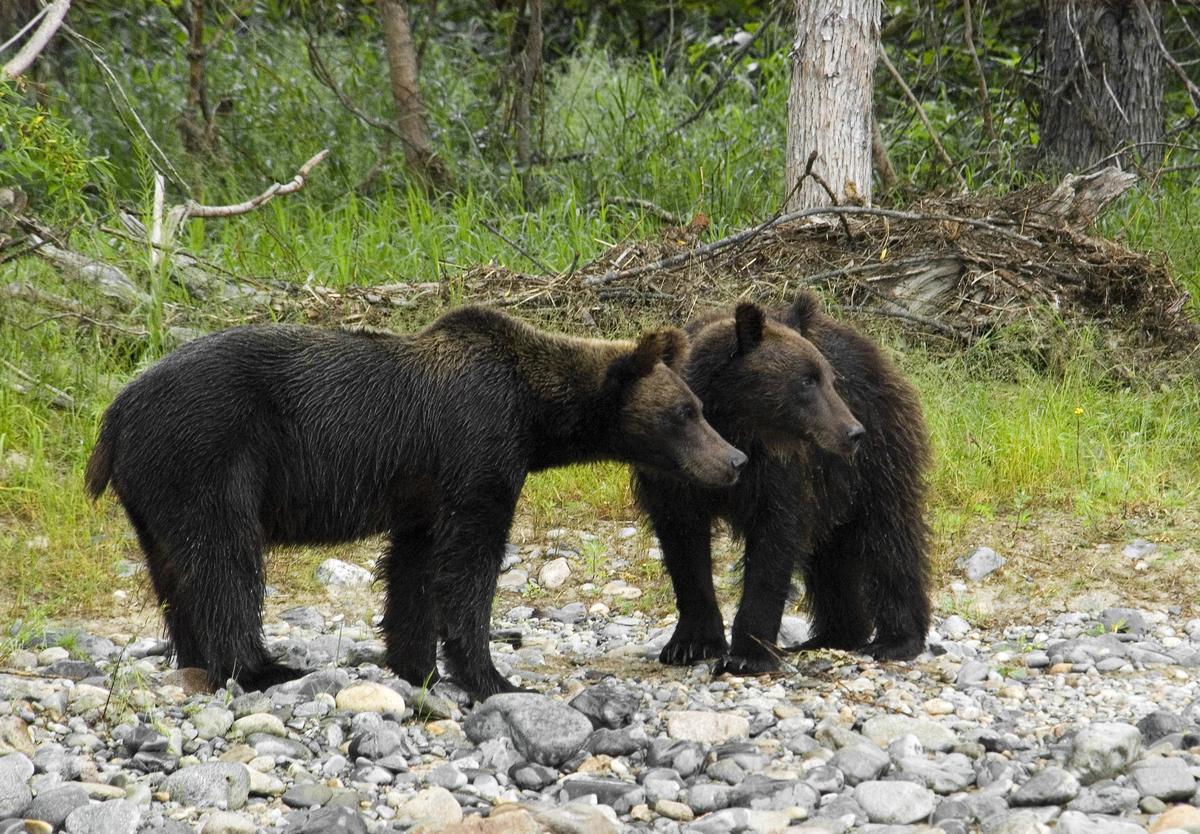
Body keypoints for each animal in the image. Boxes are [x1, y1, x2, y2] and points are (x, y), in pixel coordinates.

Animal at [87, 304, 739, 696]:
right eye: (685, 413)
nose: (733, 461)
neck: (534, 415)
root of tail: (114, 415)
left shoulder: (426, 488)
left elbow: (415, 567)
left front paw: (415, 664)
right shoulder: (478, 450)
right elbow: (469, 564)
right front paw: (492, 676)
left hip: (154, 491)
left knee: (174, 569)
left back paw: (196, 659)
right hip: (210, 453)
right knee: (225, 557)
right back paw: (262, 668)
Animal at [633, 296, 931, 676]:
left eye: (829, 378)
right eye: (807, 381)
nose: (852, 432)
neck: (728, 426)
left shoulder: (778, 471)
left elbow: (772, 545)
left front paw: (748, 655)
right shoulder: (673, 477)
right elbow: (684, 547)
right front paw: (690, 644)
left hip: (878, 452)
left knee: (888, 536)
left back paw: (895, 639)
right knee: (830, 556)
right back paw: (832, 635)